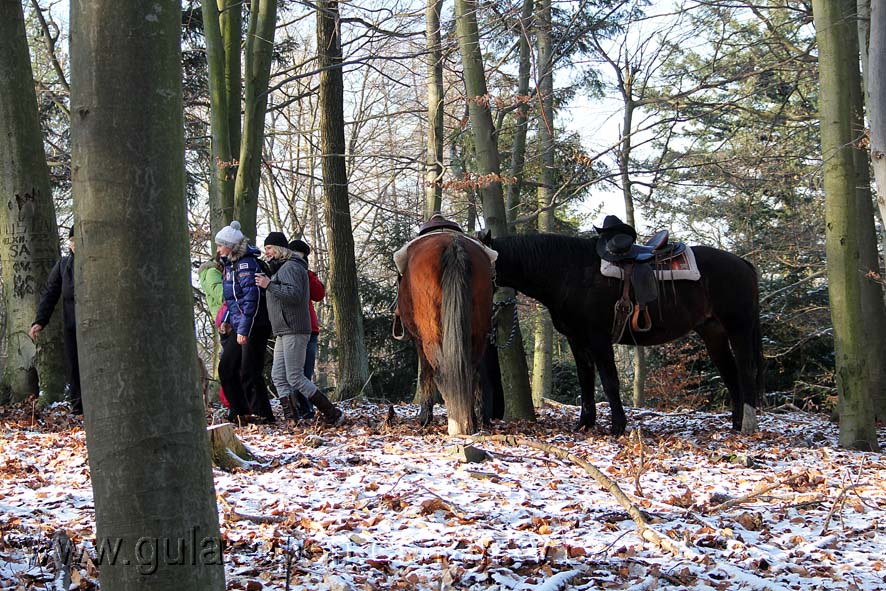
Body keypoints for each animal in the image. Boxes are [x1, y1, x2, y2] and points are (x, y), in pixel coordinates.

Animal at [398, 234, 496, 438]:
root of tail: (453, 244)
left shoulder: (419, 341)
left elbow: (425, 374)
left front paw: (424, 418)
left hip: (431, 337)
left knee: (441, 372)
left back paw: (456, 423)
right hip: (477, 335)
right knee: (469, 371)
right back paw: (469, 422)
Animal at [486, 234, 764, 438]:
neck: (570, 272)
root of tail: (744, 264)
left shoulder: (599, 338)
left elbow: (609, 382)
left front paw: (617, 426)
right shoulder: (576, 339)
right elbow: (585, 381)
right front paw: (585, 424)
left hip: (738, 327)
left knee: (745, 371)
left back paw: (748, 425)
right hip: (713, 333)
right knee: (730, 374)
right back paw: (736, 424)